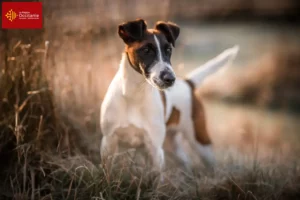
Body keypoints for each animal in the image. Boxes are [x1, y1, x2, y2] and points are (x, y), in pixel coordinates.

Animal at [101, 18, 239, 172]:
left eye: (168, 50)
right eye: (146, 50)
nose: (170, 78)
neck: (134, 95)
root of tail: (187, 83)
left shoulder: (155, 149)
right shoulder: (108, 142)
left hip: (200, 141)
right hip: (172, 145)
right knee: (185, 160)